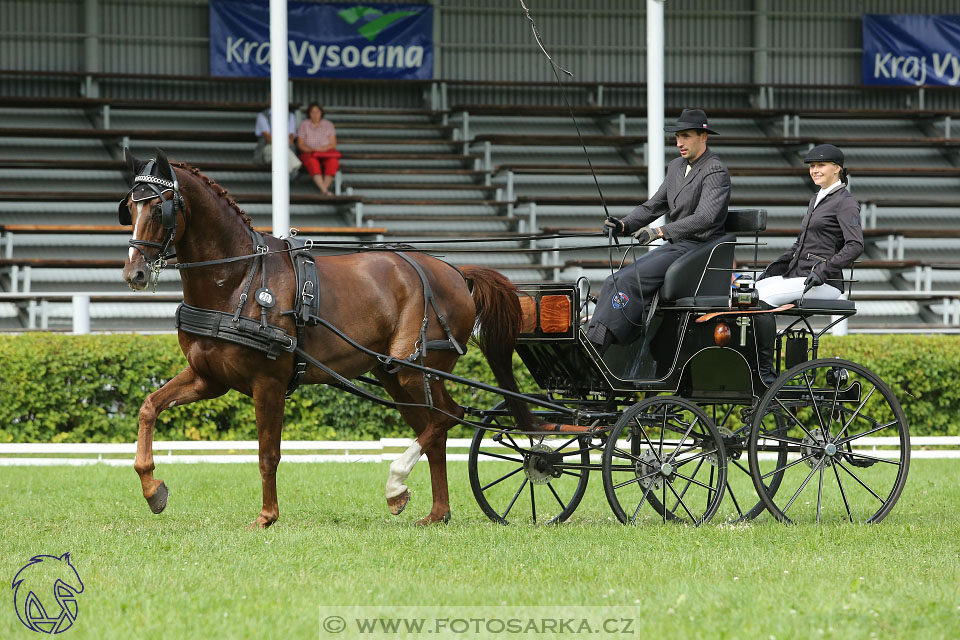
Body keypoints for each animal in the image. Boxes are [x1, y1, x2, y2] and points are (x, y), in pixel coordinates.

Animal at [118, 149, 532, 524]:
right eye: (129, 210)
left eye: (158, 210)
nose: (134, 274)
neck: (239, 279)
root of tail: (457, 274)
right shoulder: (209, 378)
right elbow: (149, 407)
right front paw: (153, 490)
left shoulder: (268, 382)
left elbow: (268, 453)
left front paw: (267, 517)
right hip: (393, 376)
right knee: (435, 429)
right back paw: (435, 511)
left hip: (416, 368)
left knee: (449, 417)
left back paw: (396, 484)